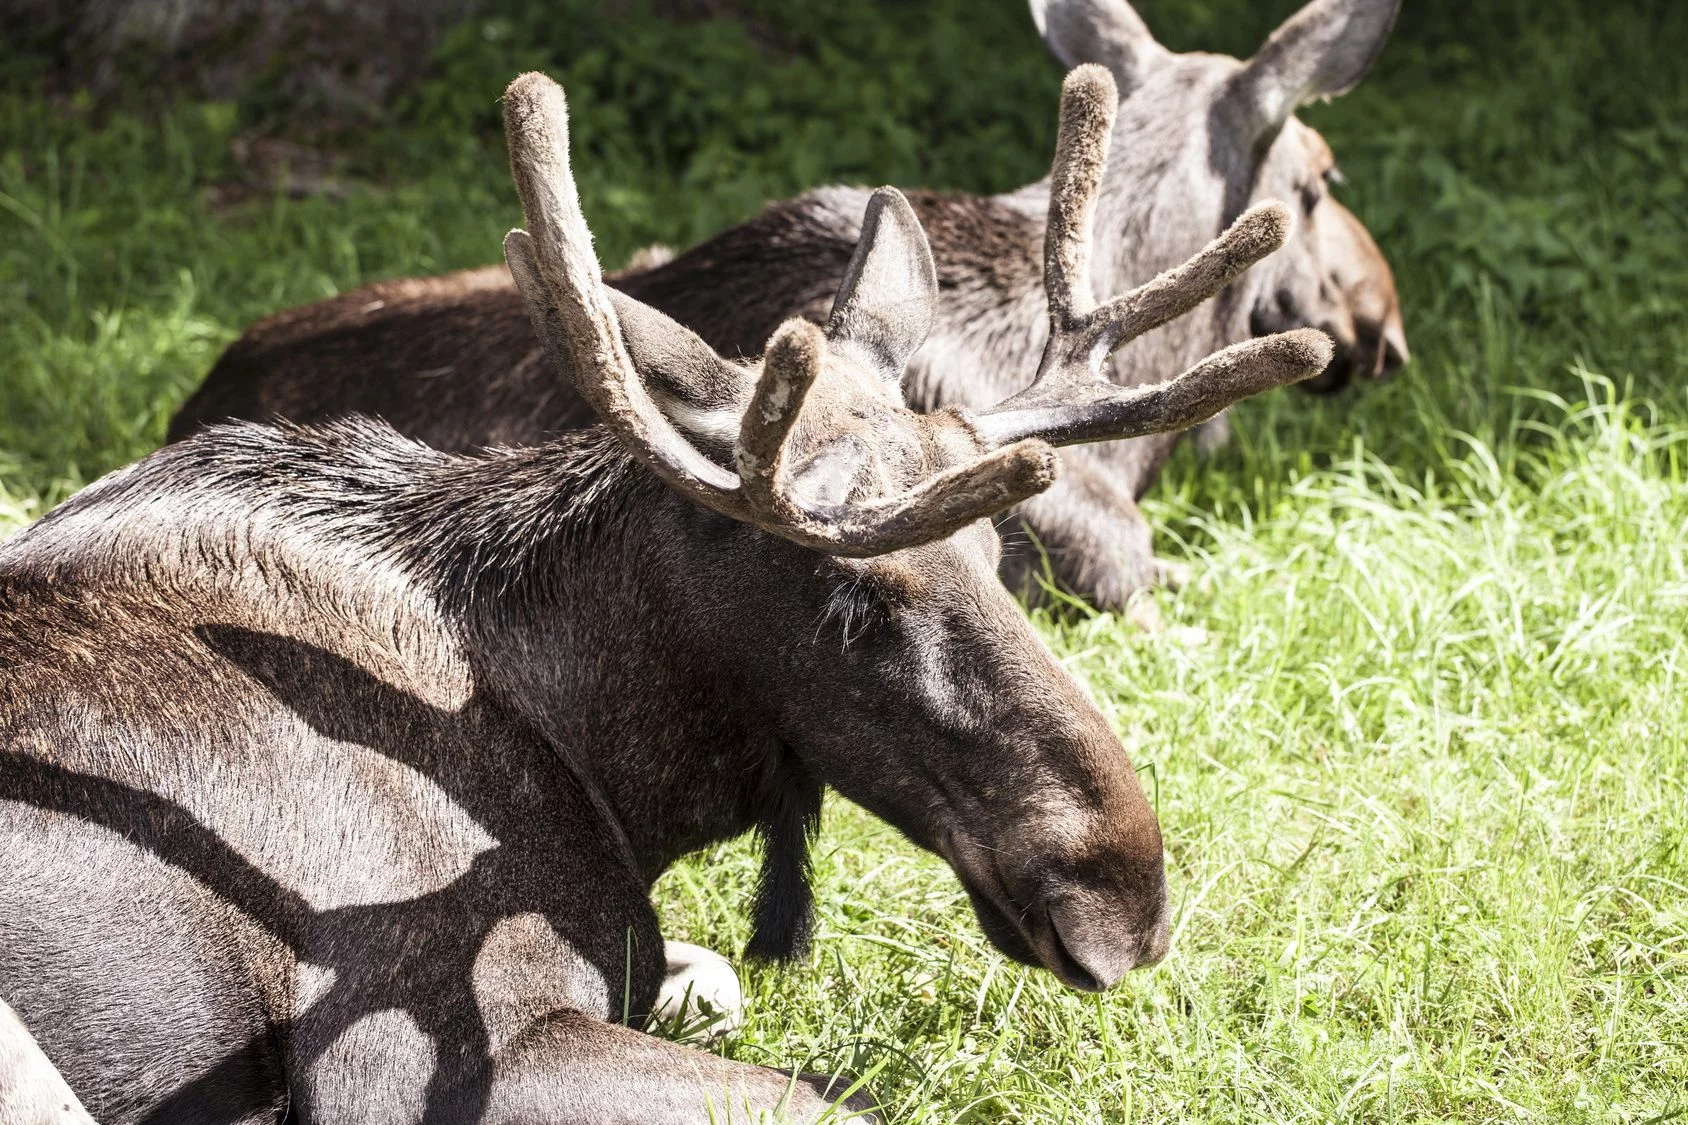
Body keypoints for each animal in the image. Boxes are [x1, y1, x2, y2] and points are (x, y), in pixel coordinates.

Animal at [0, 72, 1330, 1121]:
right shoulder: (404, 1050)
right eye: (851, 605)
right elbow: (837, 1105)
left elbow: (723, 983)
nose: (1123, 892)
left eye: (1005, 555)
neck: (614, 767)